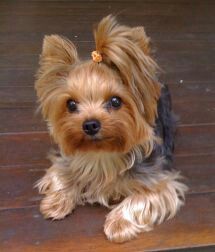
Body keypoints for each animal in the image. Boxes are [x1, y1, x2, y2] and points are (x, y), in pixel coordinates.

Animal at [34, 14, 187, 243]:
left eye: (115, 101)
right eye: (71, 104)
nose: (90, 124)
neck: (102, 153)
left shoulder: (160, 183)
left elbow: (144, 198)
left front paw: (118, 225)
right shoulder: (65, 160)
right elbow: (60, 174)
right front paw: (55, 203)